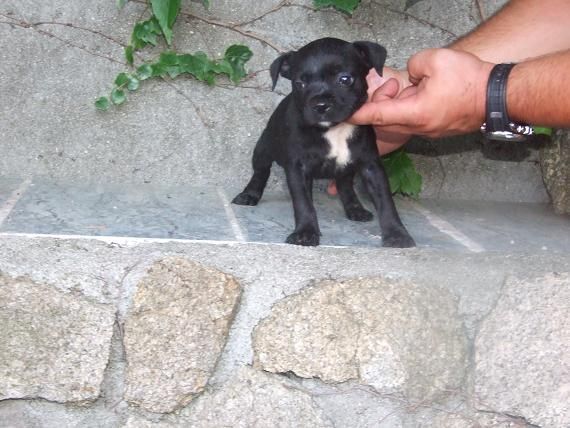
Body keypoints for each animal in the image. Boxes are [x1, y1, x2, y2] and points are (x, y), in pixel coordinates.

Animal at [231, 38, 412, 249]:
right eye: (299, 83)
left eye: (345, 79)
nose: (320, 105)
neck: (334, 129)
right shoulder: (298, 169)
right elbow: (303, 203)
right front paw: (305, 232)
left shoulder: (371, 166)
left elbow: (386, 201)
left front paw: (397, 233)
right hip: (263, 149)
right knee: (260, 172)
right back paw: (249, 194)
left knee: (345, 184)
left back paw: (355, 208)